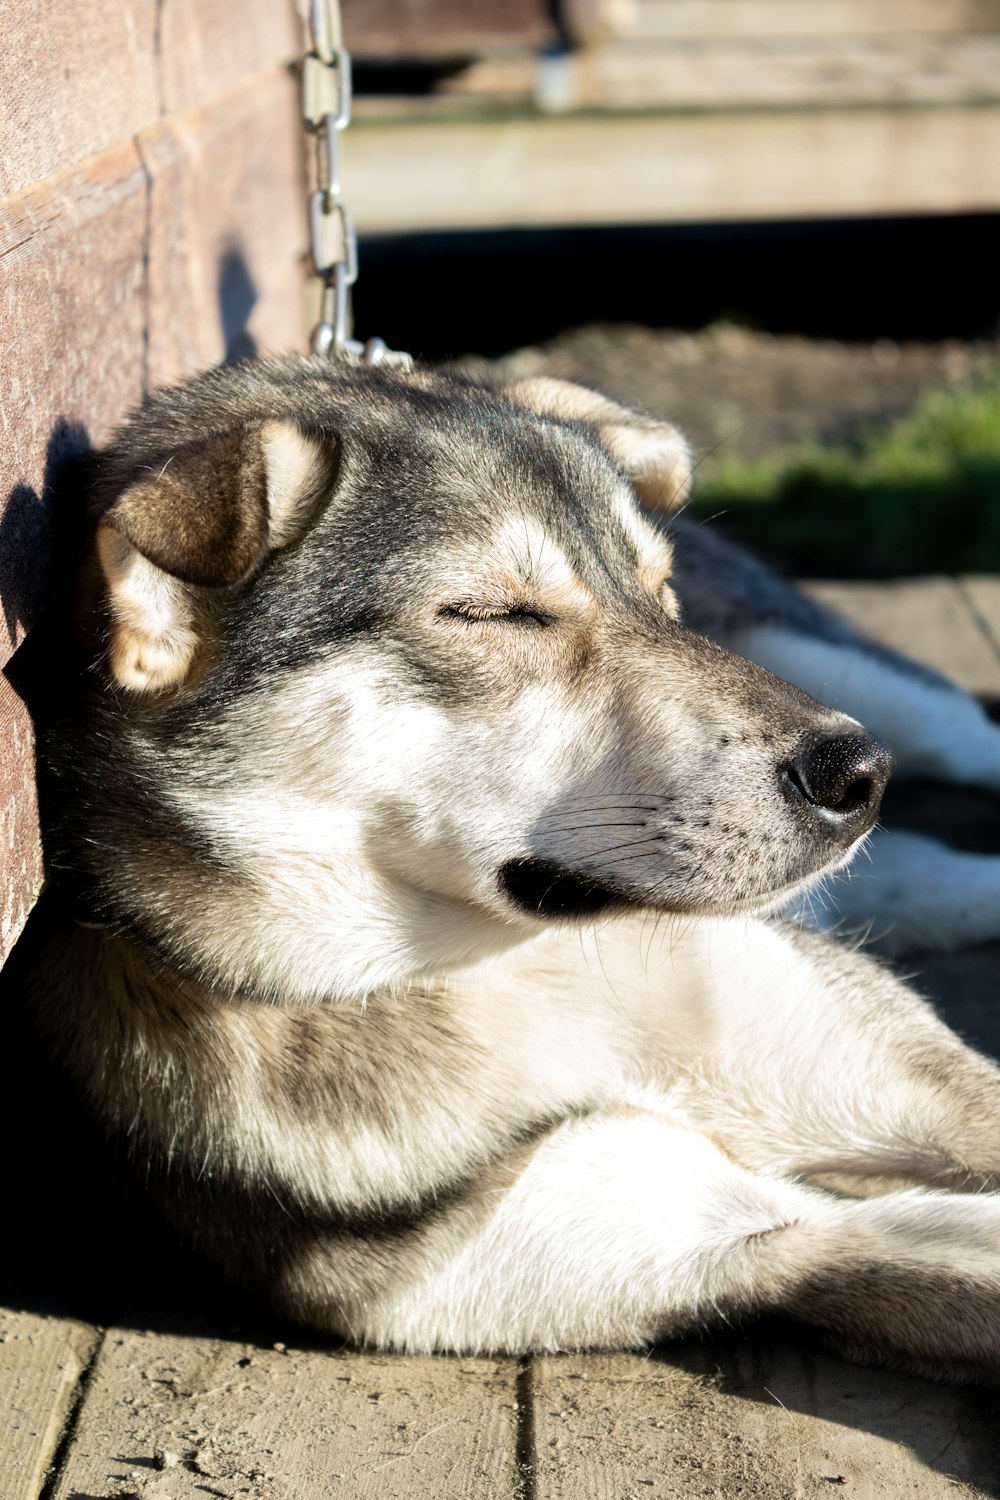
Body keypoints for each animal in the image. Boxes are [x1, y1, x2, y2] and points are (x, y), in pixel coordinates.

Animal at [17, 360, 1000, 1380]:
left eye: (658, 594)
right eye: (495, 613)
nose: (856, 775)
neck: (497, 974)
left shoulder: (915, 1083)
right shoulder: (742, 1238)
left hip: (892, 700)